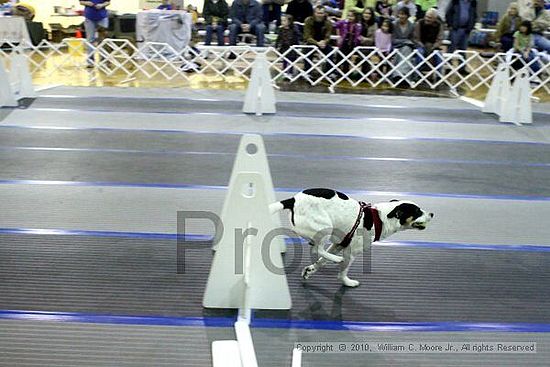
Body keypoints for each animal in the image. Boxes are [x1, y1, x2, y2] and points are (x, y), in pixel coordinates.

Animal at [272, 190, 436, 288]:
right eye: (417, 211)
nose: (432, 214)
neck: (381, 218)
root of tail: (293, 200)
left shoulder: (338, 245)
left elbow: (321, 262)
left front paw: (310, 271)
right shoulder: (350, 253)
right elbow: (342, 272)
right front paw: (347, 282)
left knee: (318, 249)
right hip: (325, 227)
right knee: (316, 248)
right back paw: (336, 259)